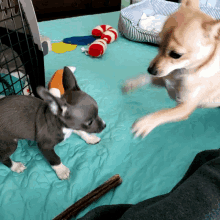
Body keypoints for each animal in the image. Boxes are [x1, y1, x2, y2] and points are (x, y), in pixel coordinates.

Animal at [124, 0, 220, 138]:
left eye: (175, 55)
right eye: (158, 44)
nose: (150, 69)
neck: (182, 72)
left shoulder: (184, 107)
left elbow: (163, 113)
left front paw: (145, 123)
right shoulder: (164, 80)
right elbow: (148, 78)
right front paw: (132, 83)